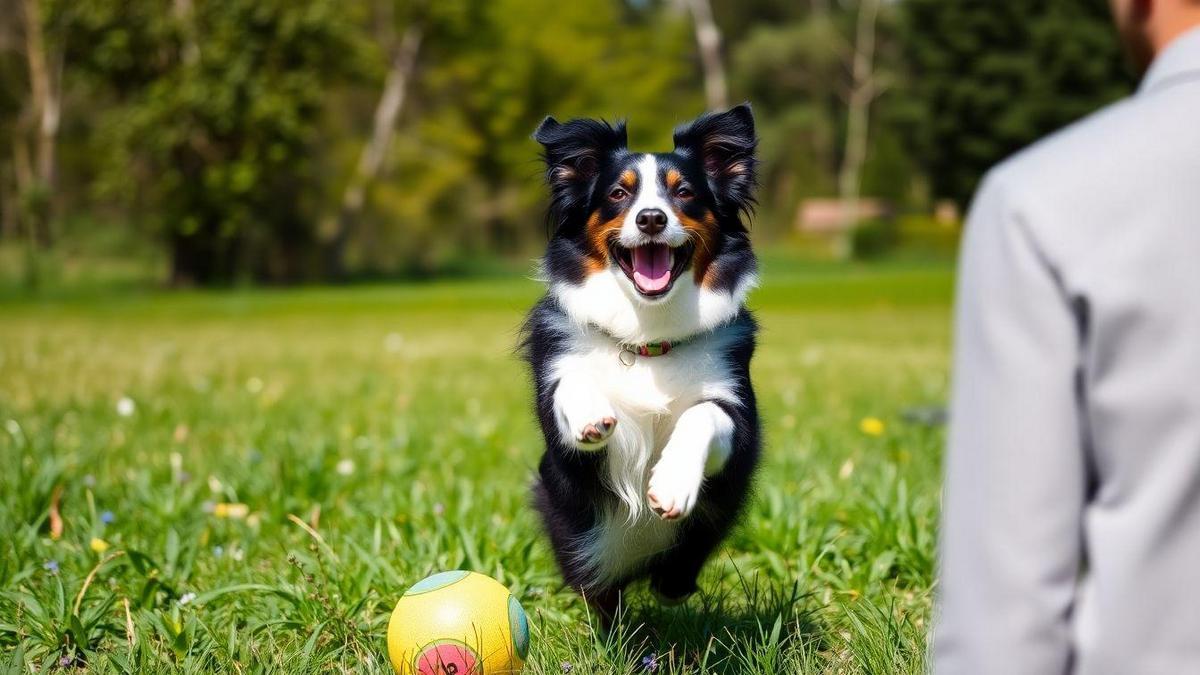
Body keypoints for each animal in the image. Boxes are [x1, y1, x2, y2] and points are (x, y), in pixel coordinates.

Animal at [520, 102, 763, 619]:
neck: (647, 341)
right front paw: (591, 414)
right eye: (618, 193)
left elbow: (702, 416)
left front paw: (671, 484)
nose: (651, 218)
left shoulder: (738, 416)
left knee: (676, 572)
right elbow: (570, 385)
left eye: (684, 192)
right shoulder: (563, 441)